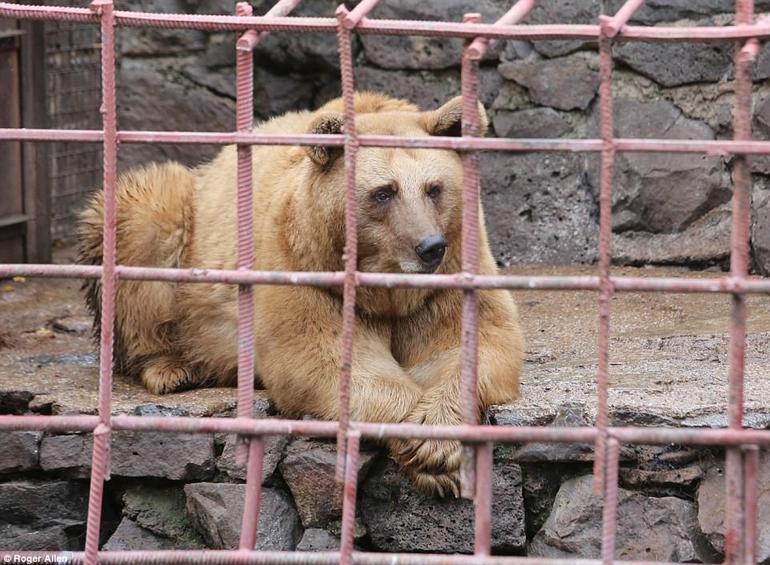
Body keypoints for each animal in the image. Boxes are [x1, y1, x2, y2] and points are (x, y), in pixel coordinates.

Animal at [78, 92, 520, 494]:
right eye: (384, 191)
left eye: (434, 188)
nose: (429, 247)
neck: (384, 286)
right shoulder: (302, 265)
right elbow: (320, 357)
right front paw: (425, 448)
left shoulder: (454, 271)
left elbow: (470, 344)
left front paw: (436, 443)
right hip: (182, 226)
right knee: (142, 218)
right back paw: (171, 368)